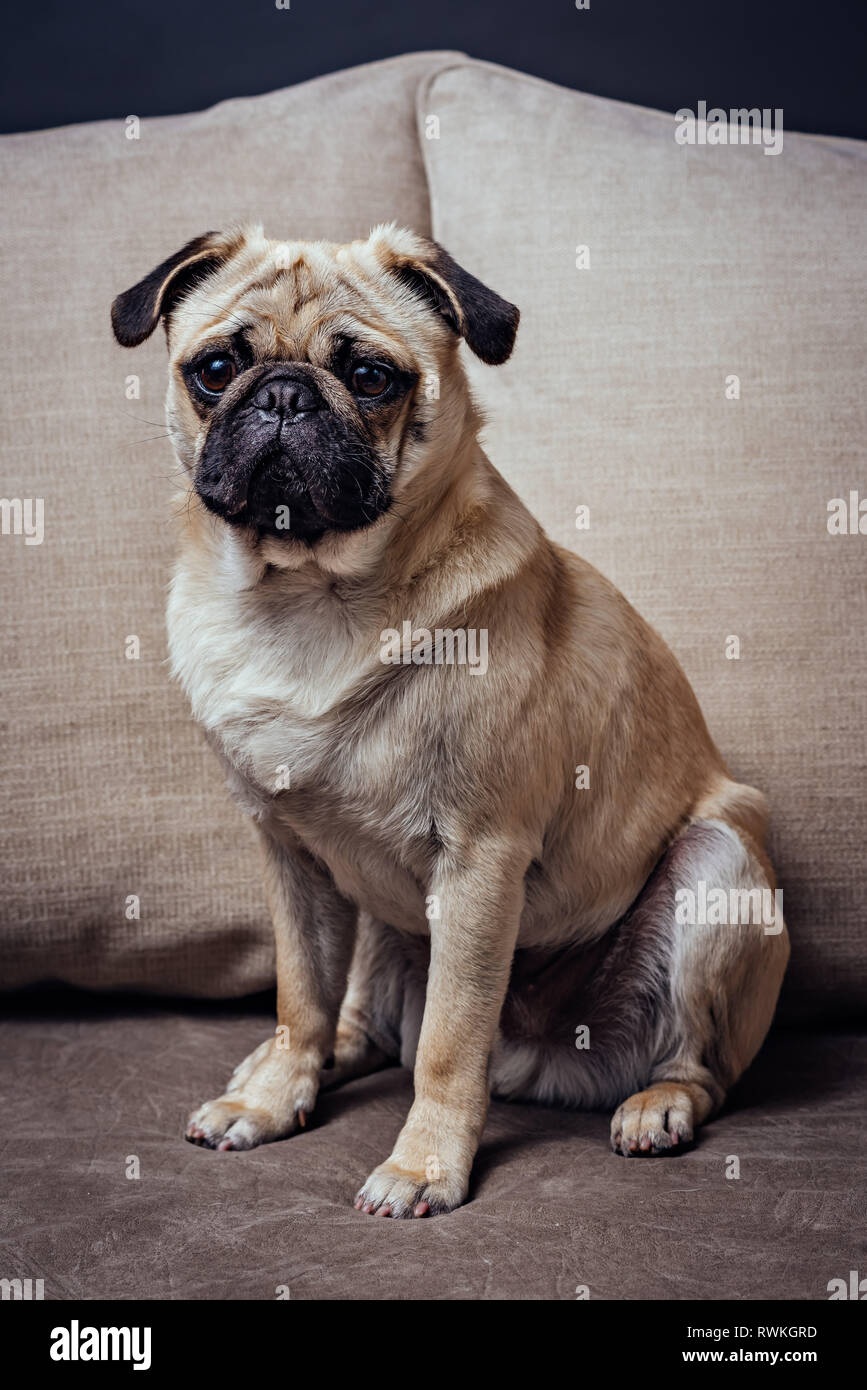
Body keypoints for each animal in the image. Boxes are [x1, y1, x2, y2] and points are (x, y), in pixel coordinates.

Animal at [111, 225, 789, 1217]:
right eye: (215, 368)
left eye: (370, 377)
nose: (282, 393)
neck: (306, 598)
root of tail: (537, 1062)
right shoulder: (287, 854)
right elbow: (298, 994)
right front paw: (272, 1100)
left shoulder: (479, 863)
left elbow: (446, 1039)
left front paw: (424, 1164)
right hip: (377, 924)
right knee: (354, 1019)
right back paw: (287, 1065)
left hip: (718, 871)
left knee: (700, 1068)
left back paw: (656, 1105)